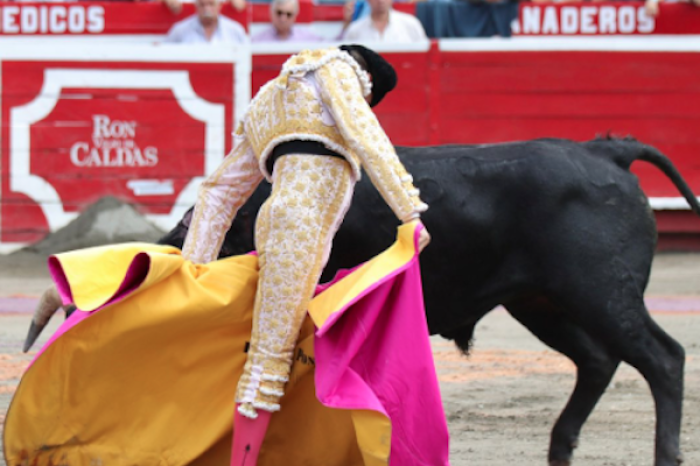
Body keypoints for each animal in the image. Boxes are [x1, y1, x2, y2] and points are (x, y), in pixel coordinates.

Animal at [159, 137, 696, 464]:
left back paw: (664, 454)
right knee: (599, 360)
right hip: (542, 304)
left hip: (602, 293)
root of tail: (605, 151)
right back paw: (560, 448)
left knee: (663, 357)